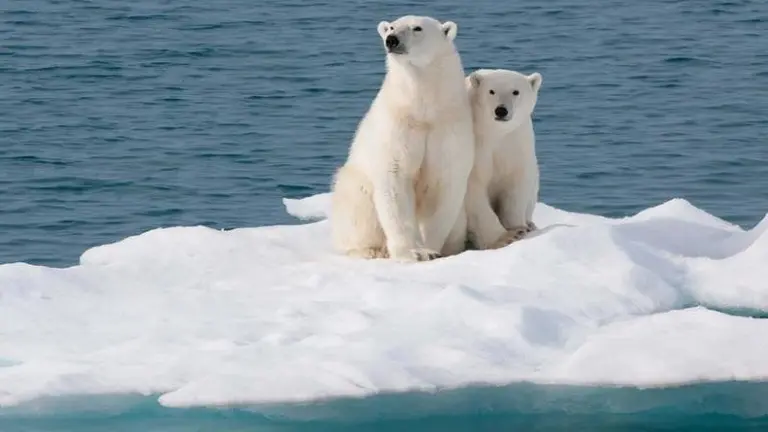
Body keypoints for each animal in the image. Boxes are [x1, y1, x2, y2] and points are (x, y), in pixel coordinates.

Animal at [330, 15, 475, 262]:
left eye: (417, 28)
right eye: (390, 26)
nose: (392, 40)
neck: (422, 109)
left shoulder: (448, 130)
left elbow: (444, 184)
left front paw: (431, 249)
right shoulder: (397, 127)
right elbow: (395, 180)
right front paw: (413, 252)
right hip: (355, 184)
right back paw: (370, 249)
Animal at [462, 68, 543, 250]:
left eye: (515, 92)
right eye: (491, 91)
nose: (501, 110)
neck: (495, 133)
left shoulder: (516, 142)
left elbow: (515, 185)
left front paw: (519, 228)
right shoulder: (477, 150)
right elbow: (474, 191)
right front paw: (504, 238)